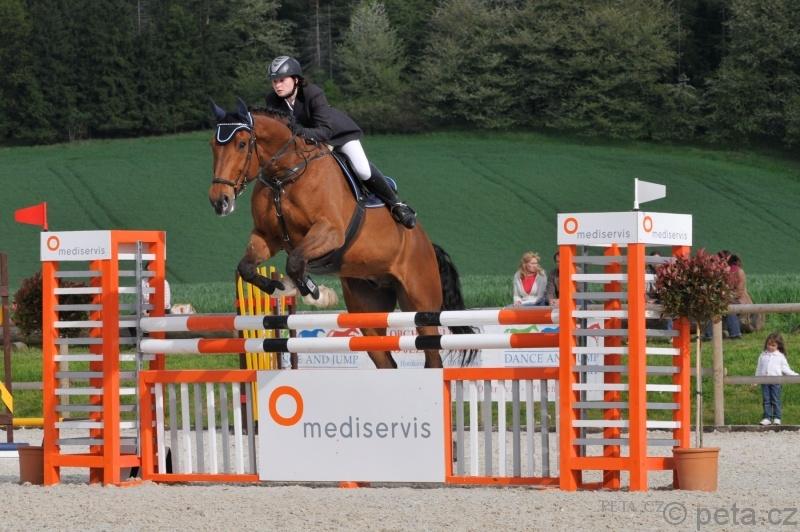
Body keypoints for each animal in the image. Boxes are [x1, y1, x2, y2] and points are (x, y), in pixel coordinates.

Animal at [208, 98, 475, 368]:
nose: (220, 201)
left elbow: (294, 262)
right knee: (386, 360)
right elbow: (247, 267)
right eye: (212, 146)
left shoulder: (330, 232)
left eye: (242, 144)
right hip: (368, 309)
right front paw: (281, 288)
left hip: (421, 303)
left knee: (433, 356)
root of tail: (428, 245)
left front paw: (317, 295)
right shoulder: (267, 237)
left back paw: (404, 213)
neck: (284, 178)